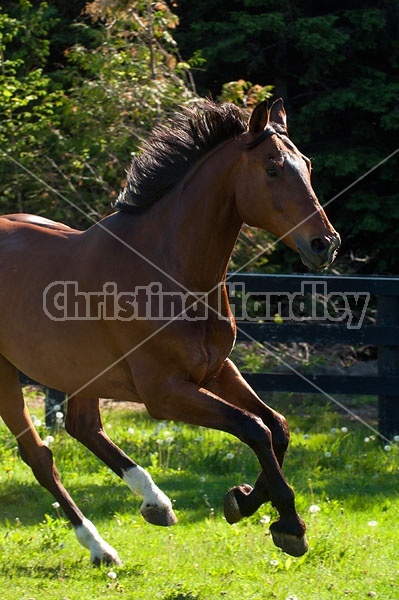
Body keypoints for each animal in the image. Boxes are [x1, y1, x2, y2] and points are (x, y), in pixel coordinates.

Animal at [0, 98, 340, 564]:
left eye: (306, 165)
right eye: (272, 169)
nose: (325, 244)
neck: (167, 268)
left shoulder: (216, 370)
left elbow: (278, 426)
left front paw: (243, 501)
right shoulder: (164, 393)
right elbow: (254, 428)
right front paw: (288, 524)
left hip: (80, 373)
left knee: (83, 428)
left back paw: (155, 503)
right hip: (7, 373)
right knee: (39, 454)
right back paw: (100, 547)